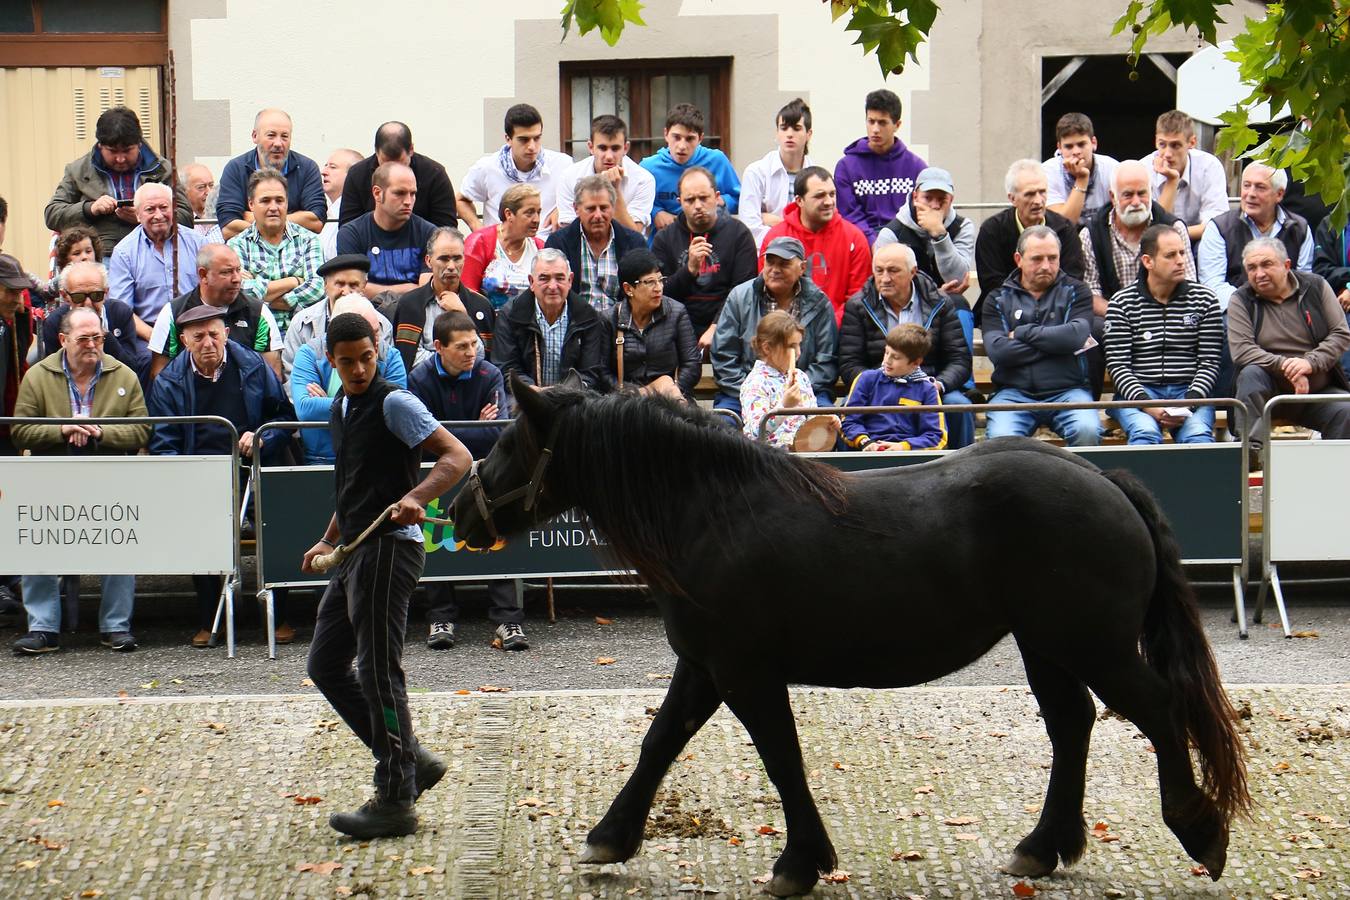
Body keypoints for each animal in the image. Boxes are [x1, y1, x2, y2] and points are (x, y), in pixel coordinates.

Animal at [456, 377, 1252, 895]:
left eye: (509, 441)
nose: (462, 510)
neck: (711, 512)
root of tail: (1108, 480)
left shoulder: (744, 671)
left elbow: (782, 760)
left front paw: (798, 863)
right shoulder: (706, 667)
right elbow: (660, 742)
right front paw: (609, 839)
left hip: (1095, 646)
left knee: (1156, 711)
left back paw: (1199, 831)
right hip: (1047, 645)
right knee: (1073, 725)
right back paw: (1042, 848)